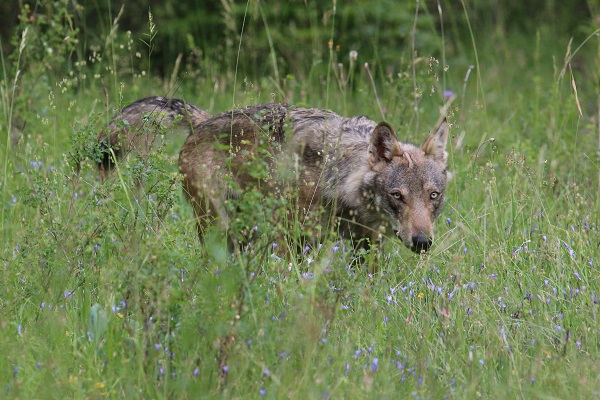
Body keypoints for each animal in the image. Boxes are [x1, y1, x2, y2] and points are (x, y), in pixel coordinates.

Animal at [102, 97, 450, 253]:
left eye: (433, 196)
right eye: (397, 196)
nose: (422, 242)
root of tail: (203, 119)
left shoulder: (366, 246)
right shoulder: (291, 239)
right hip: (220, 227)